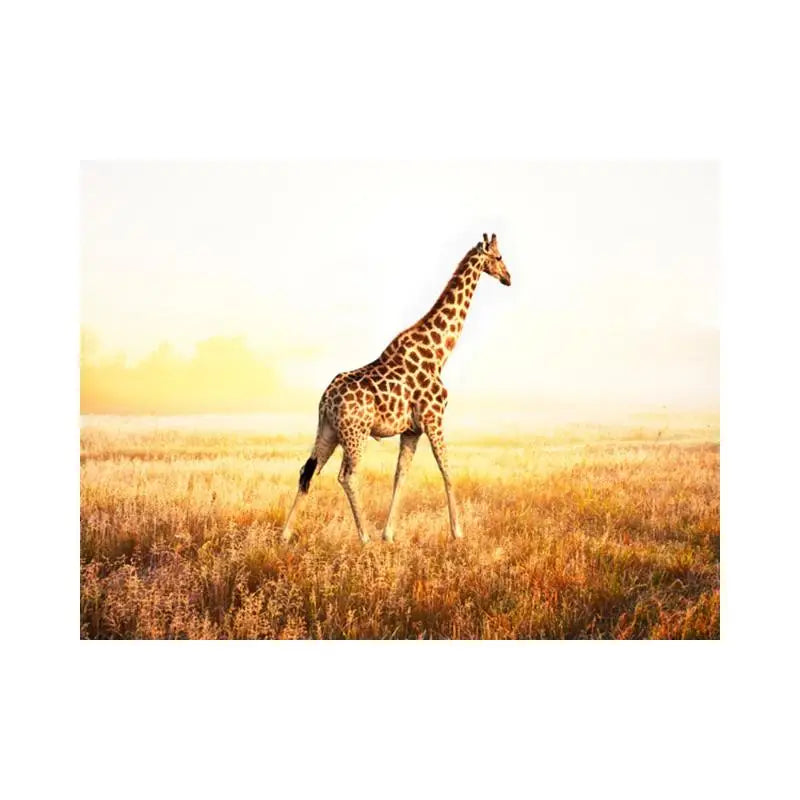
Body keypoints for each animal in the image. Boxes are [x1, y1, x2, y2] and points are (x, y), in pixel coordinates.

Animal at [281, 233, 512, 544]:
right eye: (499, 257)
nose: (508, 278)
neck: (438, 353)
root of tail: (325, 399)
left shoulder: (412, 429)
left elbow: (400, 475)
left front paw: (389, 534)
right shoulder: (434, 418)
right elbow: (446, 469)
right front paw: (457, 532)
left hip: (328, 430)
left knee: (308, 470)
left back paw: (285, 534)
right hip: (355, 433)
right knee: (347, 475)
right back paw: (364, 537)